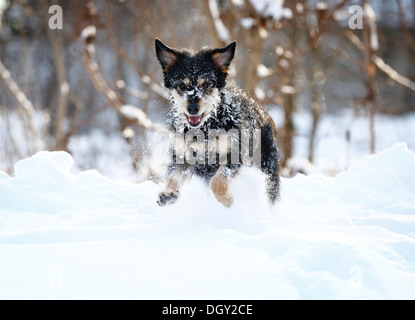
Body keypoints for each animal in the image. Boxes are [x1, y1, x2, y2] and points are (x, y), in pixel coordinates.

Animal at [155, 38, 280, 208]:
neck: (205, 129)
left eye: (206, 84)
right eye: (181, 85)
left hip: (266, 167)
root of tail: (265, 115)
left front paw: (227, 200)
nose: (192, 108)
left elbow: (218, 182)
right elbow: (173, 176)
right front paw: (168, 193)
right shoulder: (183, 156)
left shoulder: (234, 153)